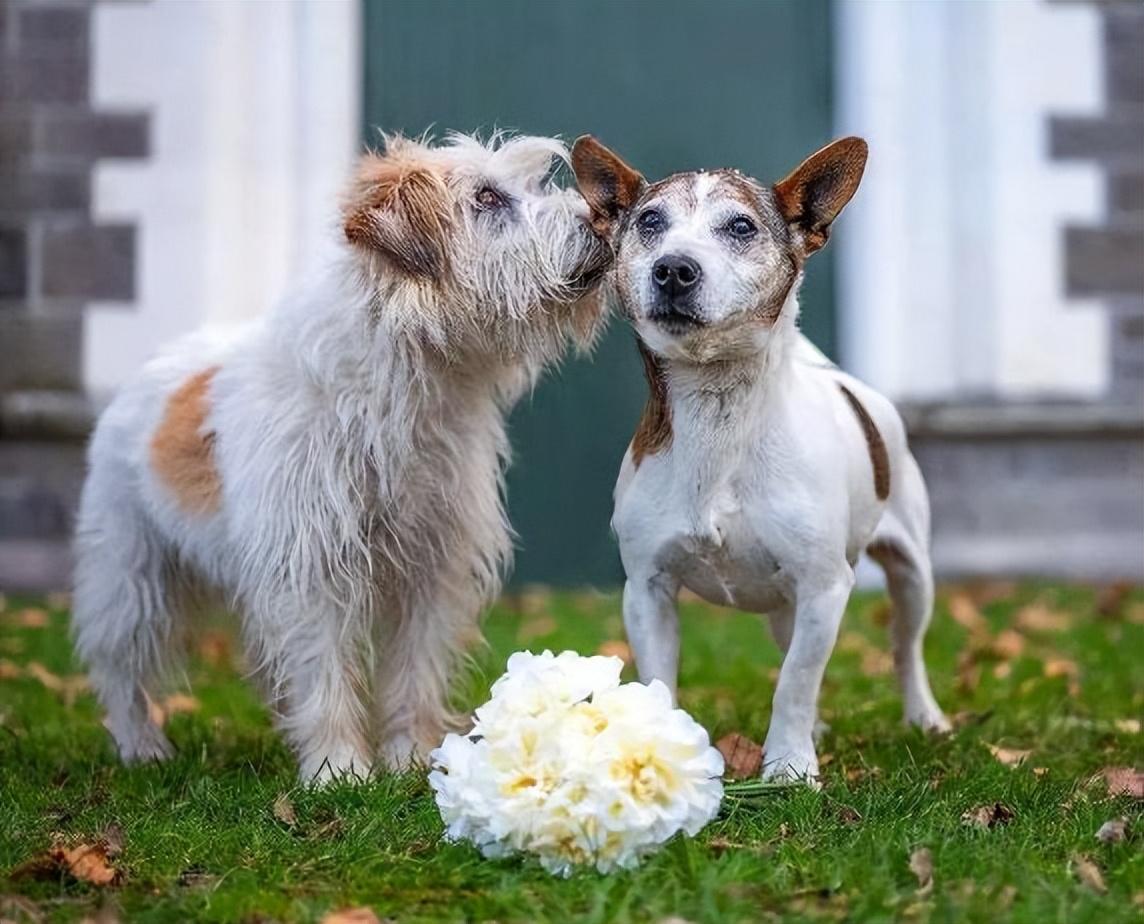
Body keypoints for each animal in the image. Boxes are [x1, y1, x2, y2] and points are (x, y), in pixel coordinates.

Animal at [70, 131, 608, 777]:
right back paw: (140, 746)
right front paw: (336, 770)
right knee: (122, 666)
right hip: (130, 577)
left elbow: (414, 672)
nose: (604, 221)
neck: (415, 377)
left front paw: (408, 759)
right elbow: (324, 672)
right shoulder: (311, 568)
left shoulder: (431, 567)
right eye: (485, 197)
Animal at [569, 133, 947, 782]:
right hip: (784, 606)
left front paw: (790, 765)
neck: (720, 413)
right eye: (649, 222)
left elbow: (795, 682)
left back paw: (924, 717)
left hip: (910, 575)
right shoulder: (647, 591)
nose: (673, 268)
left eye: (741, 226)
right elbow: (661, 682)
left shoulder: (825, 587)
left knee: (906, 649)